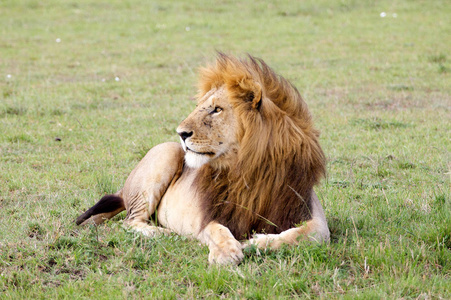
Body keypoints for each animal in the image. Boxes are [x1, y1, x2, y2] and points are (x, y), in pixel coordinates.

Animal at [77, 54, 332, 264]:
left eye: (216, 109)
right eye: (200, 107)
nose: (180, 133)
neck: (248, 169)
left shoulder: (307, 210)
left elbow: (308, 234)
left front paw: (257, 242)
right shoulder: (210, 215)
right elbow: (216, 229)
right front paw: (227, 252)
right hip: (165, 154)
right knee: (130, 221)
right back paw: (163, 233)